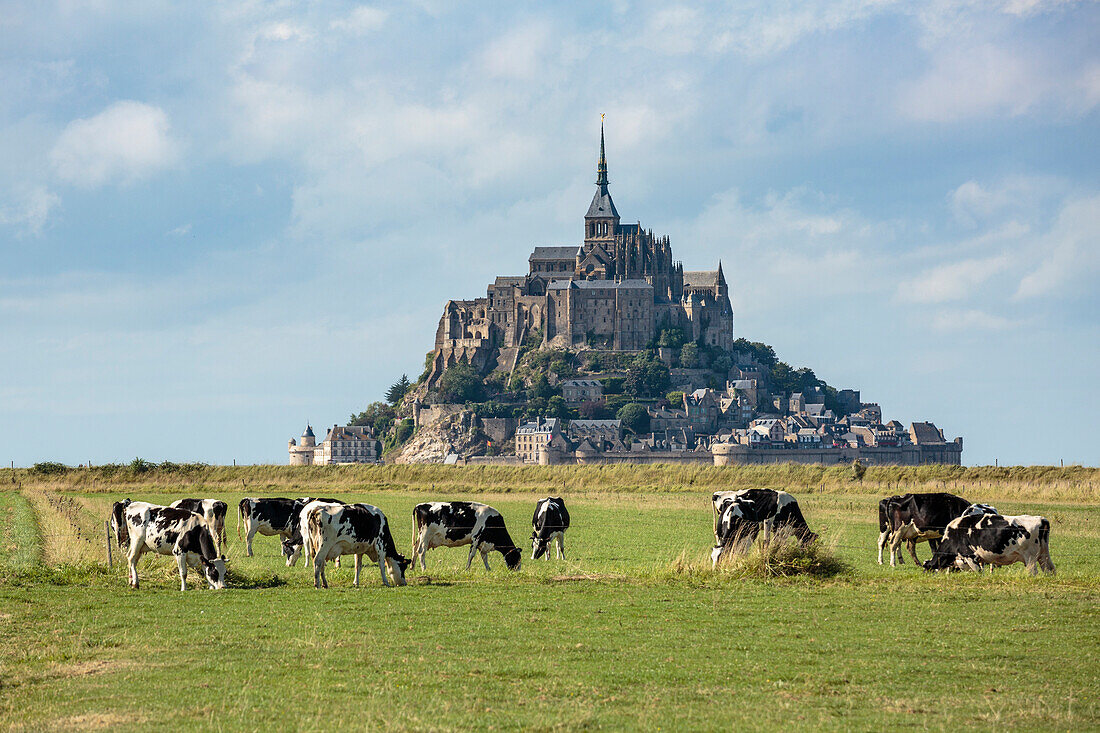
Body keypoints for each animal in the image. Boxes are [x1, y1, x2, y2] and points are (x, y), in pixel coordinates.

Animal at [928, 510, 1056, 572]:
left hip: (1030, 558)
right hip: (1044, 555)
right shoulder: (980, 559)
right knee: (1050, 569)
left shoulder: (970, 556)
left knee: (1033, 572)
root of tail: (1040, 519)